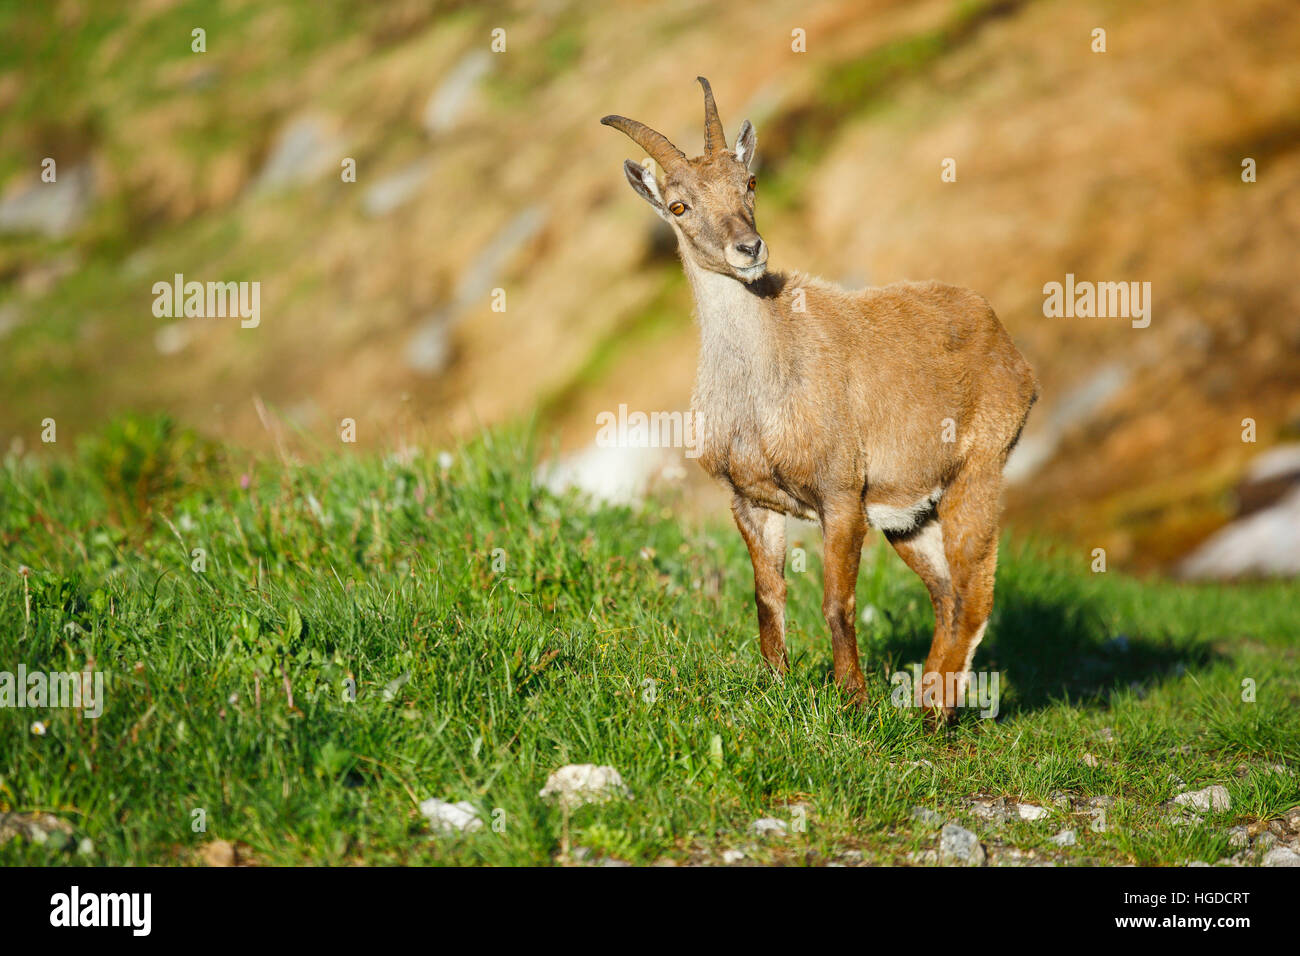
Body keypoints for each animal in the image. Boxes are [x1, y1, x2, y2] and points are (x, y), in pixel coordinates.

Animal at [601, 78, 1038, 722]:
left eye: (749, 182)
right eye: (679, 206)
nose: (748, 248)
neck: (761, 391)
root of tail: (1011, 349)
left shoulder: (840, 494)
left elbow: (838, 603)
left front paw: (851, 701)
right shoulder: (751, 500)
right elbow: (767, 596)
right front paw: (775, 685)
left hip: (976, 472)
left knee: (974, 592)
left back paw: (936, 716)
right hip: (910, 515)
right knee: (945, 593)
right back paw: (922, 707)